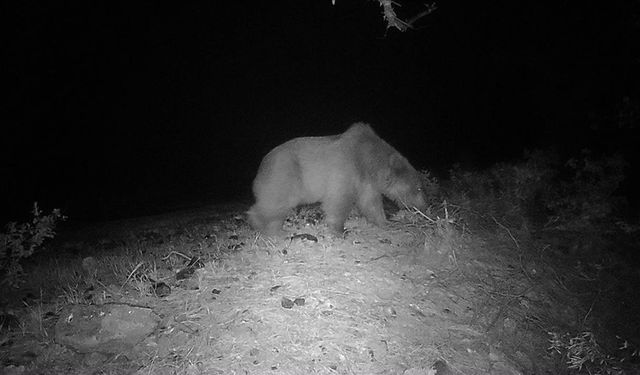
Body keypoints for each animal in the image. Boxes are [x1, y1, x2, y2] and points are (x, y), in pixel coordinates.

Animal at [248, 122, 428, 236]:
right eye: (419, 188)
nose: (425, 207)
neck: (368, 160)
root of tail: (261, 165)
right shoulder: (345, 169)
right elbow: (339, 199)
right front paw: (339, 230)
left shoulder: (366, 182)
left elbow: (371, 203)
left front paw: (386, 223)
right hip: (284, 174)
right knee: (276, 202)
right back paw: (269, 228)